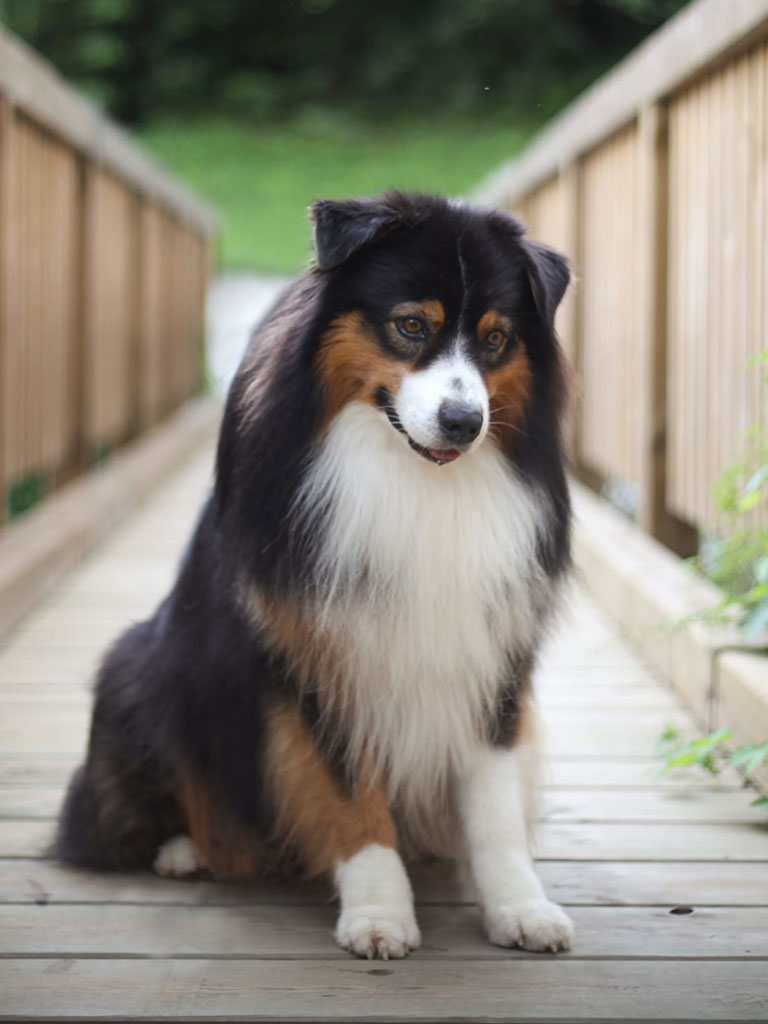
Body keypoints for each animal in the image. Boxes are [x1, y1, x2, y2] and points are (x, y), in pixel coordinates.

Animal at [58, 190, 577, 958]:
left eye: (494, 339)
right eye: (410, 325)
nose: (463, 421)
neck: (414, 481)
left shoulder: (491, 651)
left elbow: (494, 800)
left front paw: (518, 905)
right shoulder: (317, 653)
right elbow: (347, 794)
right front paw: (379, 912)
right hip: (141, 668)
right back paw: (187, 849)